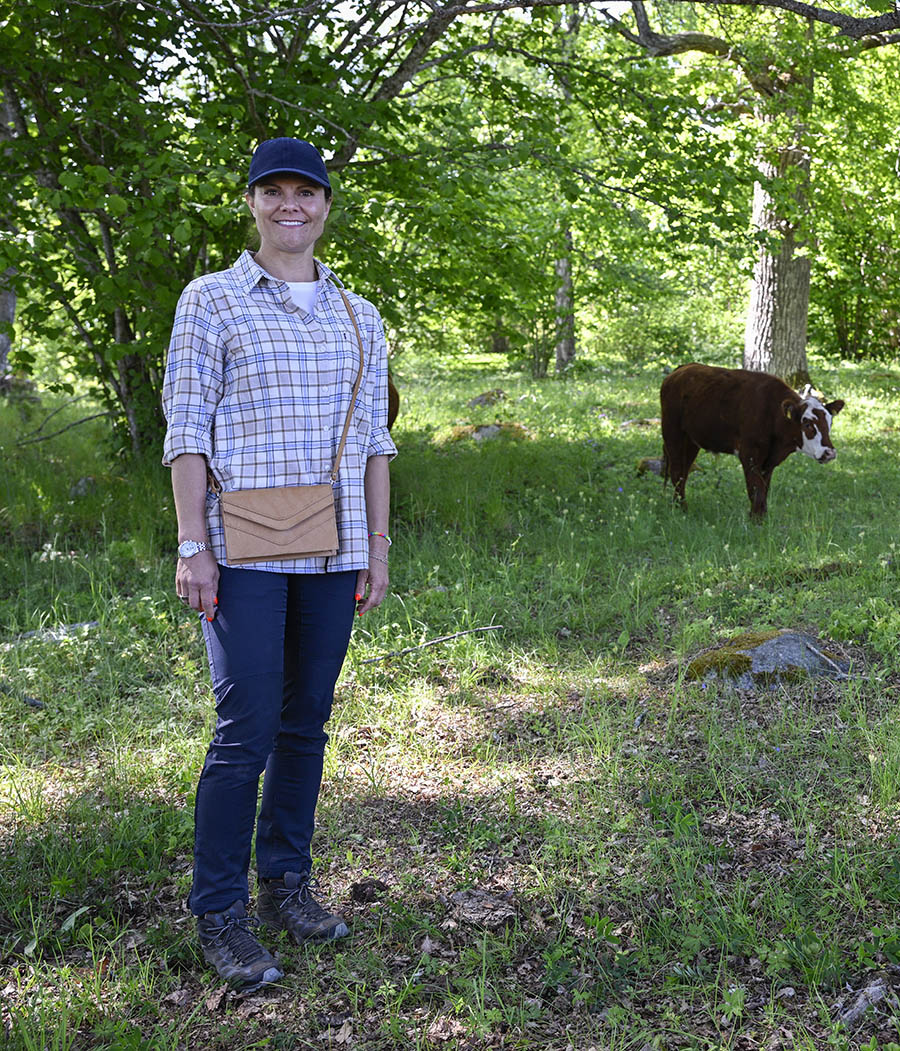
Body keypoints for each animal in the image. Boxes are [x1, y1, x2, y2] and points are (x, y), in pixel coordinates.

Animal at [660, 363, 845, 519]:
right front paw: (756, 521)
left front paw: (760, 516)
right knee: (676, 471)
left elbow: (764, 487)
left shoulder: (769, 462)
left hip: (691, 441)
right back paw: (681, 509)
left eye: (830, 423)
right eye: (807, 424)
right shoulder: (749, 454)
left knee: (683, 472)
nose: (829, 453)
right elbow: (756, 488)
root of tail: (682, 369)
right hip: (672, 433)